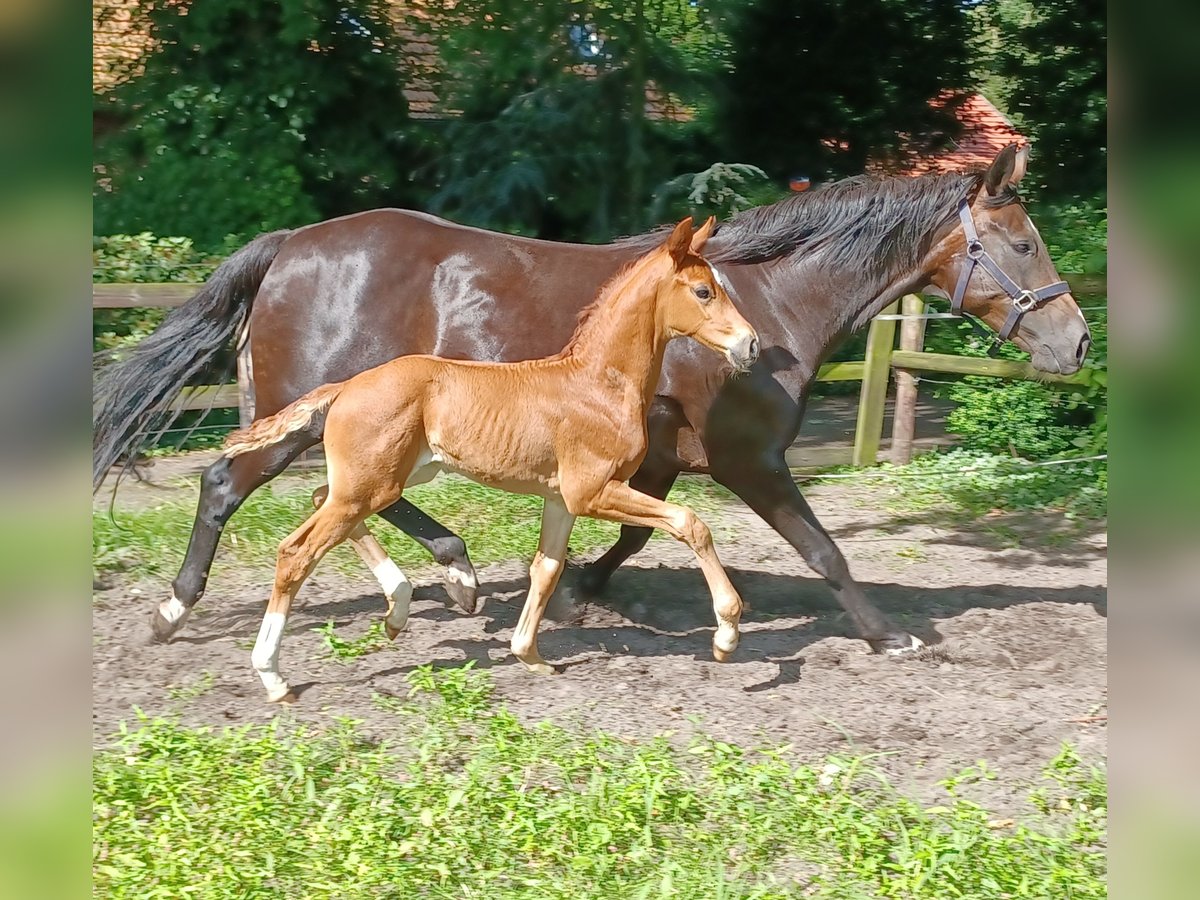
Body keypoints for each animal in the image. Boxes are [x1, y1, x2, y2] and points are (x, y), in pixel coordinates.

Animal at [93, 146, 1089, 657]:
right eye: (1025, 243)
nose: (1077, 343)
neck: (769, 306)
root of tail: (292, 243)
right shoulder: (751, 461)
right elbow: (825, 550)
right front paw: (887, 637)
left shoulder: (654, 460)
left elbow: (634, 537)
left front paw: (574, 597)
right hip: (309, 418)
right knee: (228, 487)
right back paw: (179, 610)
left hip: (350, 424)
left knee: (349, 503)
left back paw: (444, 580)